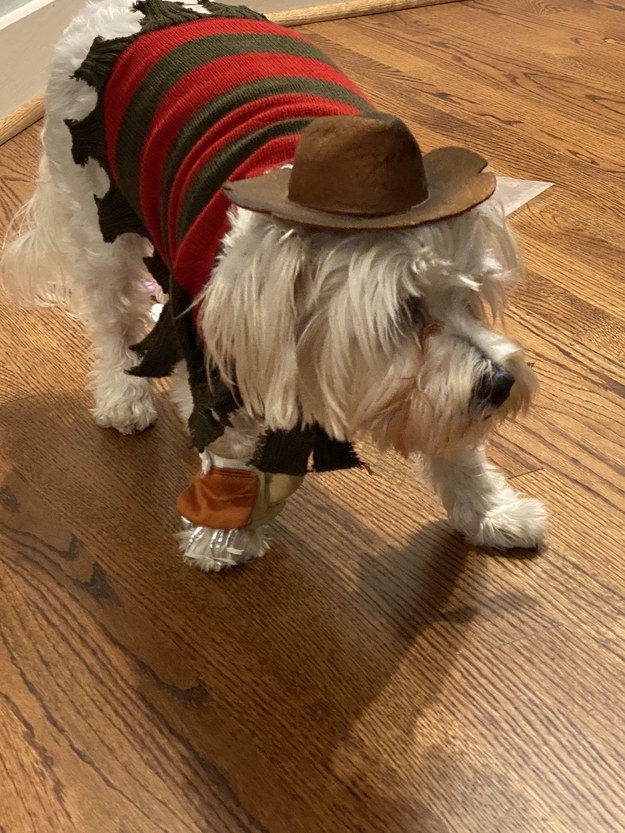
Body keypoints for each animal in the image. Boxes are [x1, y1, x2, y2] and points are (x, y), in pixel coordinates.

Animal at [0, 0, 544, 568]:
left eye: (470, 297)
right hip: (99, 223)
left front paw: (487, 511)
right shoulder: (222, 353)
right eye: (404, 313)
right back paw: (123, 396)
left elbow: (455, 437)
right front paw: (221, 535)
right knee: (115, 321)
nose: (501, 385)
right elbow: (233, 451)